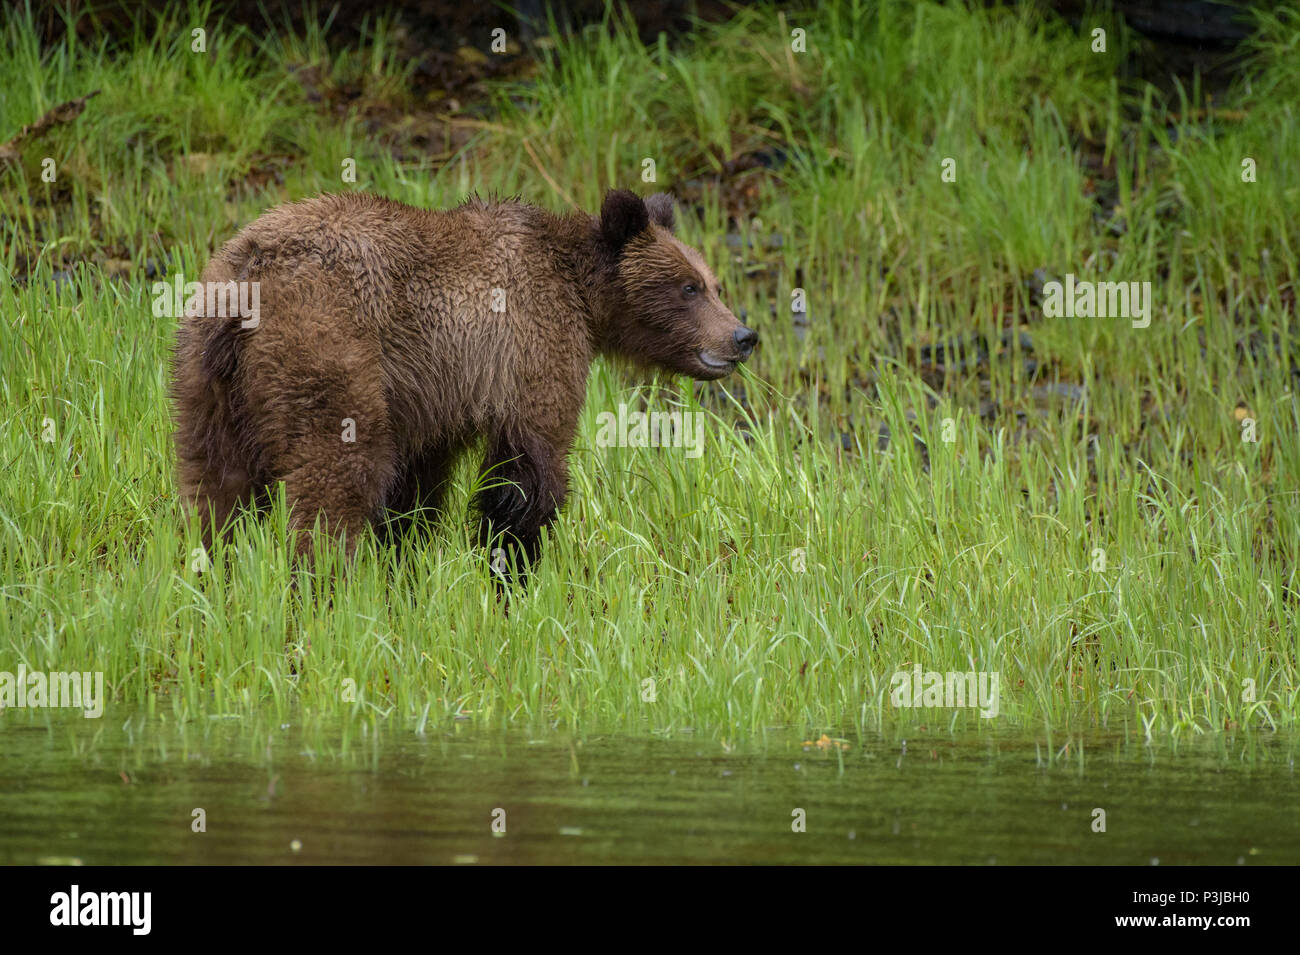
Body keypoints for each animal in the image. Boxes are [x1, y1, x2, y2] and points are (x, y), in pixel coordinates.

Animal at [169, 187, 759, 574]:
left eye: (711, 282)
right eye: (688, 287)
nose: (743, 336)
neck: (582, 296)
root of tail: (251, 274)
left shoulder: (431, 392)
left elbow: (416, 490)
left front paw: (405, 563)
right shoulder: (528, 350)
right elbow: (528, 473)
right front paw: (514, 570)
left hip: (206, 369)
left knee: (214, 484)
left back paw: (213, 571)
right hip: (327, 343)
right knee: (335, 476)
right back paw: (326, 584)